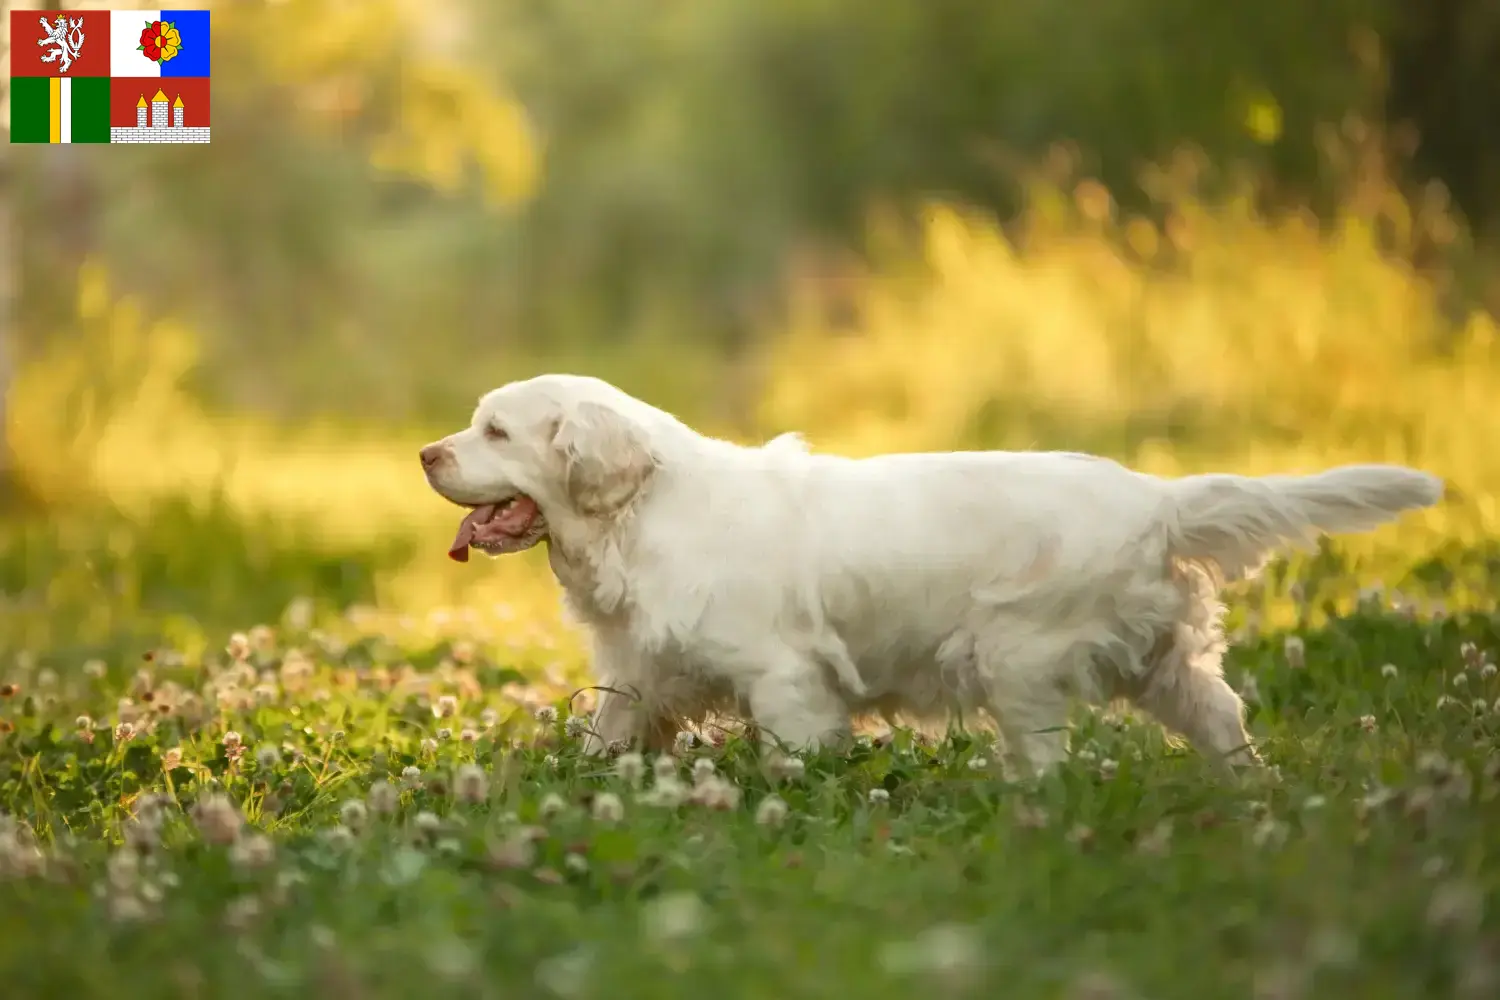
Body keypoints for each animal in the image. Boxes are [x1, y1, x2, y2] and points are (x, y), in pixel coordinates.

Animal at [420, 374, 1440, 773]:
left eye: (496, 431)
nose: (426, 453)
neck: (640, 517)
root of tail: (1153, 498)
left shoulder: (785, 678)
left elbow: (798, 752)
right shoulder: (638, 675)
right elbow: (606, 737)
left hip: (1020, 660)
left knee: (1048, 759)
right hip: (1161, 662)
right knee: (1222, 717)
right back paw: (1252, 791)